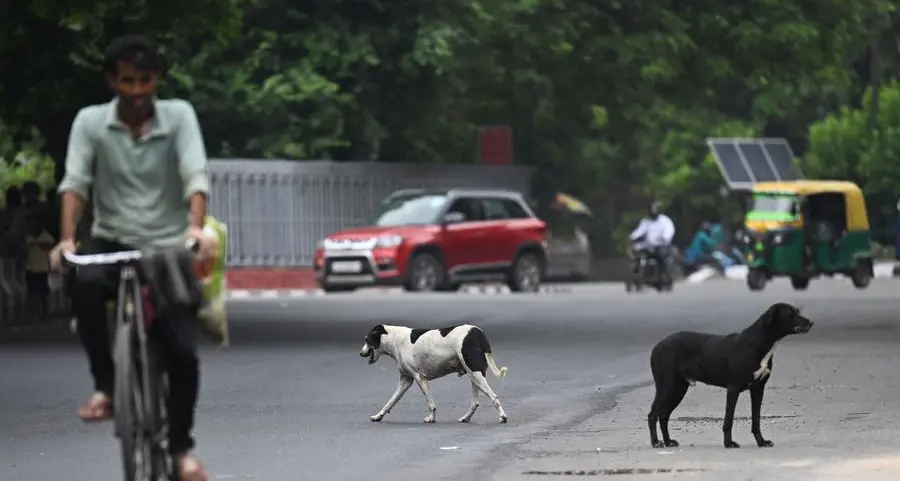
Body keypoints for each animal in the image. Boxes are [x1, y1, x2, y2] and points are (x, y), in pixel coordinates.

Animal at [360, 322, 512, 424]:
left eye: (367, 340)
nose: (361, 353)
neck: (394, 339)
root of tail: (477, 332)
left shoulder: (420, 378)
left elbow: (430, 403)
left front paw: (431, 418)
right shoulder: (405, 381)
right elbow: (390, 401)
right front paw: (378, 416)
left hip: (475, 373)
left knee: (494, 396)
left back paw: (502, 417)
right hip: (474, 376)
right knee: (475, 403)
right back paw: (466, 418)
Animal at [648, 302, 816, 448]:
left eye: (798, 311)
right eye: (790, 314)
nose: (811, 322)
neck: (759, 342)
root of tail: (657, 346)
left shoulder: (758, 389)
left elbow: (756, 420)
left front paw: (761, 442)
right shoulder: (733, 389)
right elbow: (728, 420)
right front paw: (729, 443)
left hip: (678, 389)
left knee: (663, 415)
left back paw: (668, 441)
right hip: (666, 385)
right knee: (653, 414)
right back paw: (656, 442)